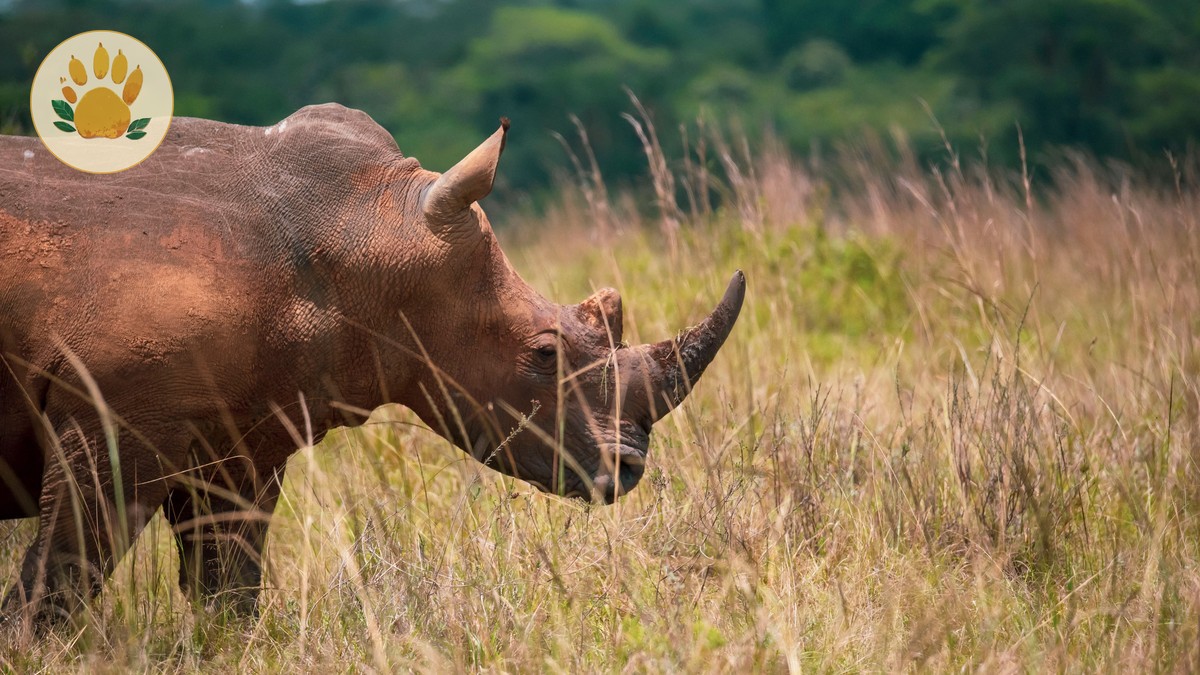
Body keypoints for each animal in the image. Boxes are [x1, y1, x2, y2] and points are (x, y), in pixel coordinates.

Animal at [0, 104, 743, 624]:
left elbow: (227, 590)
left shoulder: (241, 437)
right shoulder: (113, 416)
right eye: (543, 353)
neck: (368, 229)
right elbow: (60, 579)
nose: (629, 469)